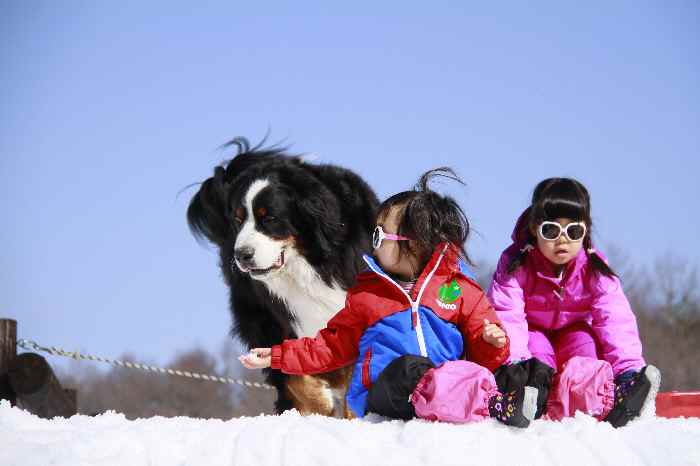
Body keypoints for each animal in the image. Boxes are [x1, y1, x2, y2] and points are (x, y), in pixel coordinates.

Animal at [187, 137, 378, 416]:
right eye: (238, 220)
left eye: (270, 218)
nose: (241, 255)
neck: (310, 266)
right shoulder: (275, 321)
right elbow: (291, 372)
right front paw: (318, 404)